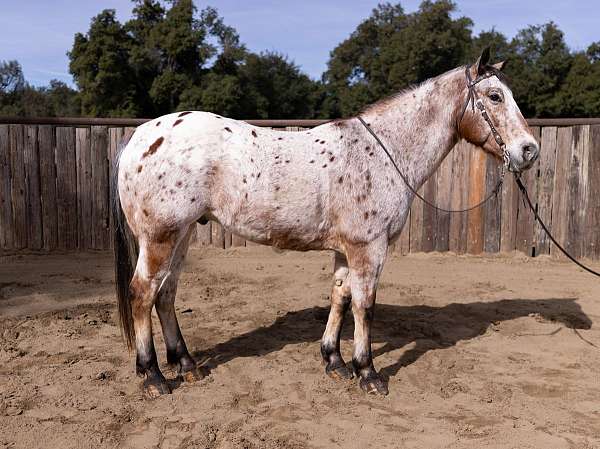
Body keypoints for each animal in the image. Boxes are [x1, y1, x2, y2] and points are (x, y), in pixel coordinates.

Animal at [112, 49, 540, 398]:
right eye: (495, 96)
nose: (529, 151)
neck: (383, 151)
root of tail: (139, 137)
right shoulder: (369, 248)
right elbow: (365, 306)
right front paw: (367, 372)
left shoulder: (346, 249)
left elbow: (341, 297)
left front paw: (334, 361)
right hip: (161, 237)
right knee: (142, 293)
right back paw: (153, 376)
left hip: (181, 236)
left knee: (166, 295)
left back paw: (186, 365)